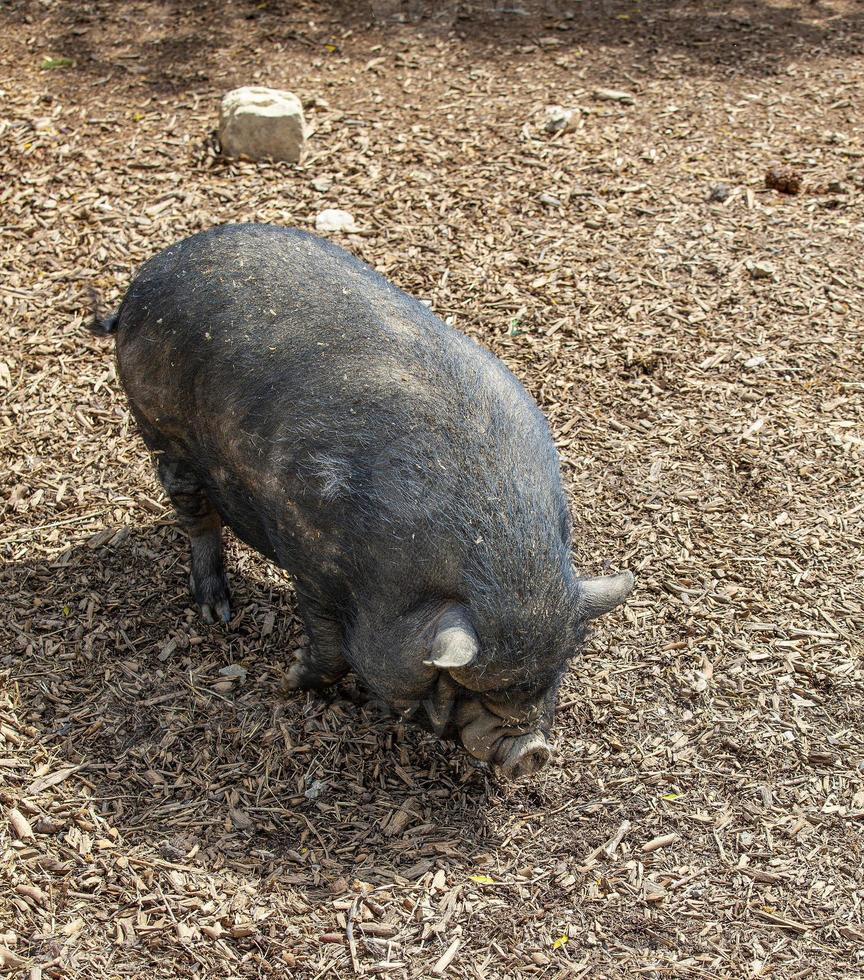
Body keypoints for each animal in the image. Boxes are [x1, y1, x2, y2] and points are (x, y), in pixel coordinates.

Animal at [93, 224, 636, 780]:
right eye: (467, 688)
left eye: (553, 676)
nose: (533, 750)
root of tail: (145, 280)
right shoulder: (309, 555)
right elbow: (330, 647)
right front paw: (289, 679)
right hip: (160, 426)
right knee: (196, 514)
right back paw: (217, 612)